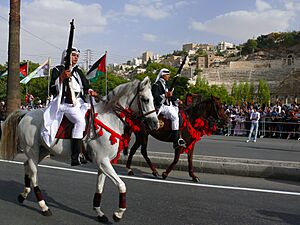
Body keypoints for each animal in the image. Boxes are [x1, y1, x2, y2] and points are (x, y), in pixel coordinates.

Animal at [0, 76, 158, 222]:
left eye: (153, 99)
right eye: (145, 99)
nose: (155, 123)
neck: (108, 120)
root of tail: (26, 113)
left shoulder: (103, 164)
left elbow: (99, 188)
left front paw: (99, 213)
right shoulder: (103, 161)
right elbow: (122, 185)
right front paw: (118, 213)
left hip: (42, 150)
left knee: (26, 166)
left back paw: (23, 195)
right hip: (32, 151)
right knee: (33, 174)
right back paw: (43, 206)